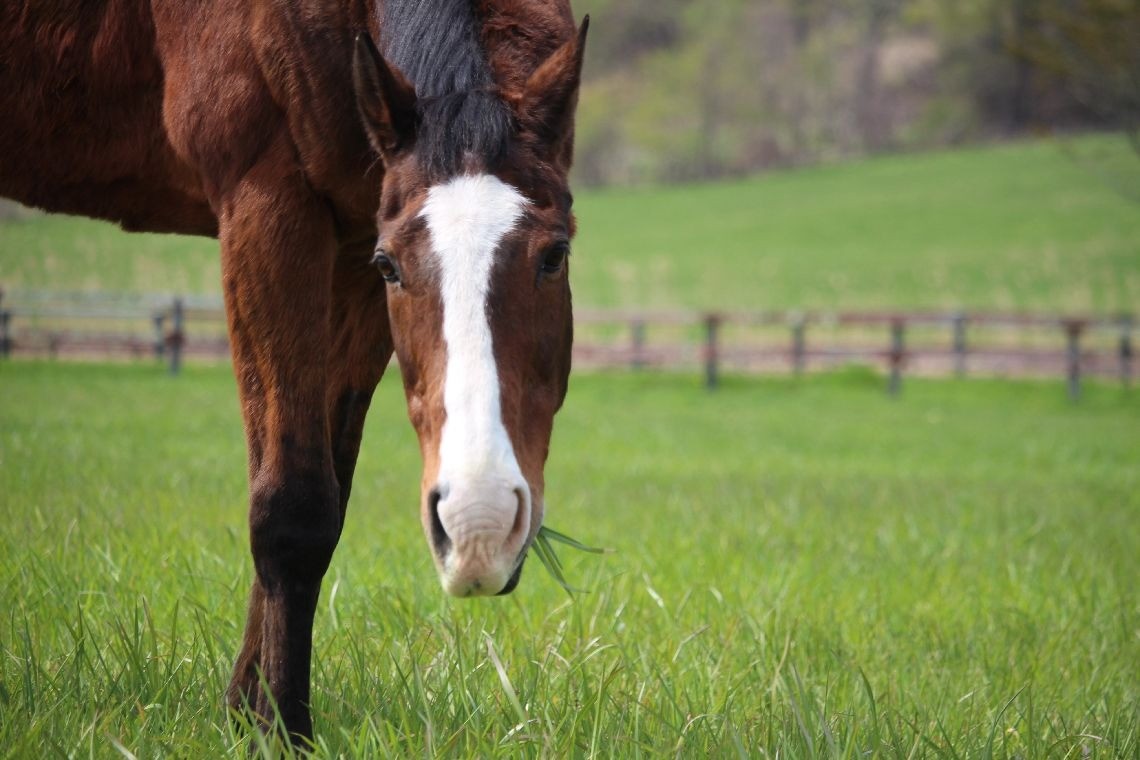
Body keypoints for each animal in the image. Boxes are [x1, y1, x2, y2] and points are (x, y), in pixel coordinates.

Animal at [0, 0, 587, 743]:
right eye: (394, 266)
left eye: (554, 255)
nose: (477, 523)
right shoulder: (269, 204)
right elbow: (292, 505)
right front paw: (280, 727)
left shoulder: (353, 239)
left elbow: (326, 492)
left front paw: (248, 711)